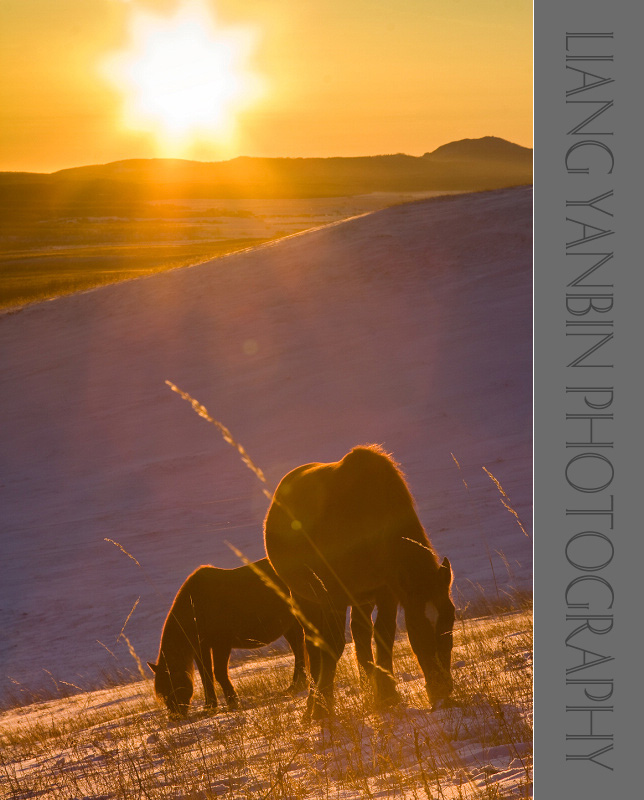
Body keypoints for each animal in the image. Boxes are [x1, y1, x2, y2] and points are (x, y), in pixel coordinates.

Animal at [148, 556, 306, 720]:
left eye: (172, 685)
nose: (175, 716)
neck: (197, 607)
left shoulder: (222, 644)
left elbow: (219, 673)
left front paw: (232, 701)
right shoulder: (201, 647)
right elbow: (206, 676)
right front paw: (210, 705)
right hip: (289, 626)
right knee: (298, 649)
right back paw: (296, 685)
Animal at [264, 444, 456, 720]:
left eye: (451, 621)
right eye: (417, 625)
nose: (443, 688)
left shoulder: (387, 593)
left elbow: (383, 636)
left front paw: (387, 695)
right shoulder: (333, 595)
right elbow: (332, 646)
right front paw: (321, 709)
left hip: (360, 599)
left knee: (360, 635)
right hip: (305, 597)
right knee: (313, 646)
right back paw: (312, 706)